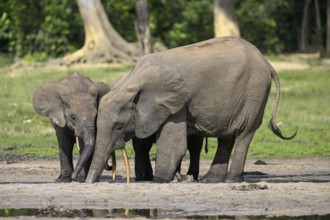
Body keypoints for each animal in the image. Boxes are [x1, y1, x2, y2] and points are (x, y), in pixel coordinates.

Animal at [85, 37, 296, 183]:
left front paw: (163, 180)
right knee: (226, 137)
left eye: (118, 126)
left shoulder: (176, 104)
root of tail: (267, 62)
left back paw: (231, 180)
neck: (131, 80)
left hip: (254, 93)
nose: (88, 183)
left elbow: (174, 145)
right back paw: (211, 180)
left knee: (243, 134)